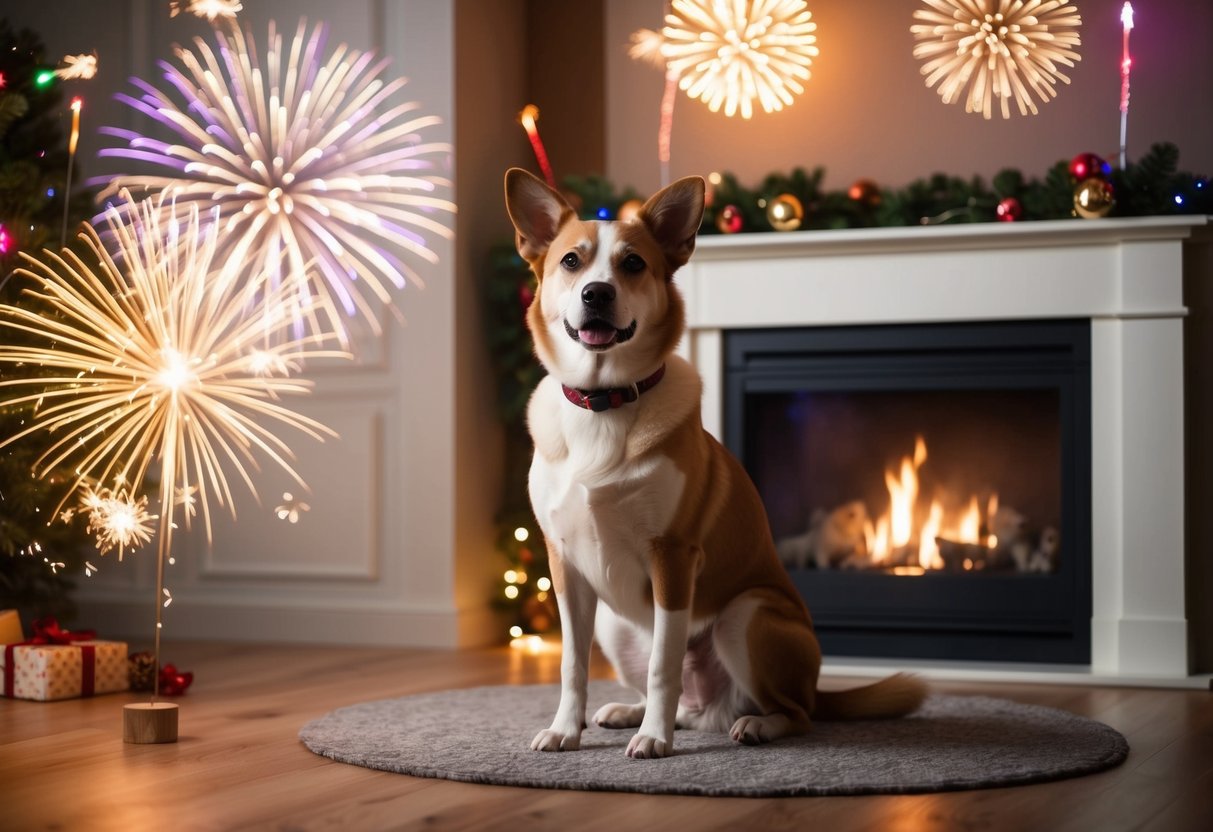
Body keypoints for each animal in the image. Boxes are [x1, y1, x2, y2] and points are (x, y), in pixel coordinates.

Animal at [502, 166, 926, 761]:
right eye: (570, 261)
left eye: (633, 264)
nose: (597, 292)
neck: (605, 402)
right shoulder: (564, 564)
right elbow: (571, 664)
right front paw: (567, 729)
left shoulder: (673, 558)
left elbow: (663, 664)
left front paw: (653, 740)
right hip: (613, 621)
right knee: (688, 705)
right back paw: (630, 712)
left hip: (745, 617)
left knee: (794, 713)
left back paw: (751, 725)